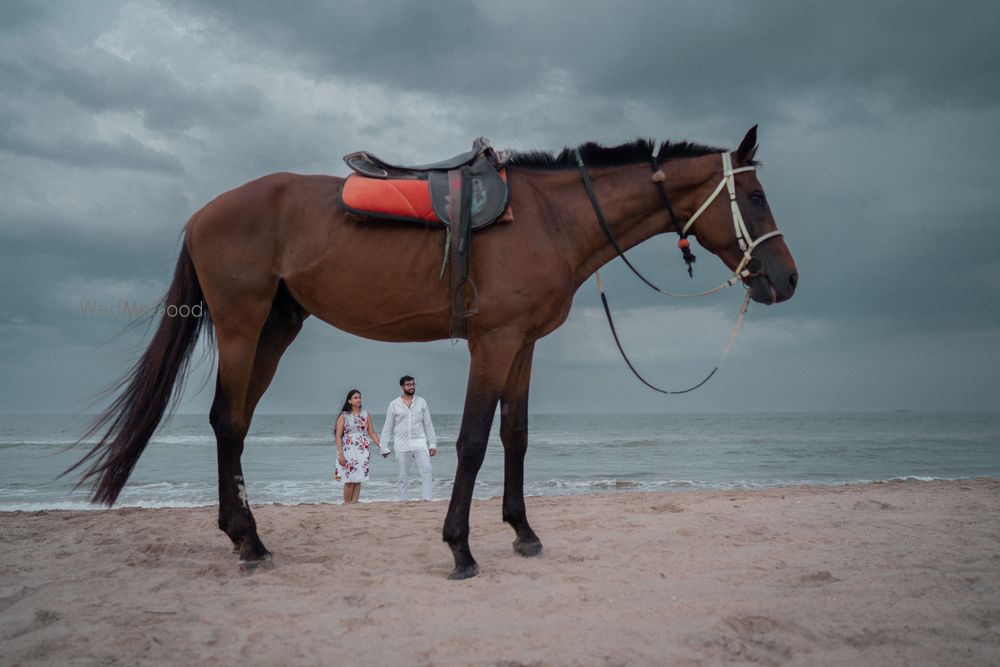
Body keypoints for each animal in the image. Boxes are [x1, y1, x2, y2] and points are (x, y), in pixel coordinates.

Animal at [70, 126, 796, 580]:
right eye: (756, 196)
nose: (786, 280)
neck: (550, 218)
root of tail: (202, 214)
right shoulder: (492, 342)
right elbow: (473, 442)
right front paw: (461, 548)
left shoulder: (522, 345)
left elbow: (515, 436)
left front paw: (523, 532)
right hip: (245, 325)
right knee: (227, 422)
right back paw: (247, 541)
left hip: (277, 327)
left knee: (239, 424)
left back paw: (247, 537)